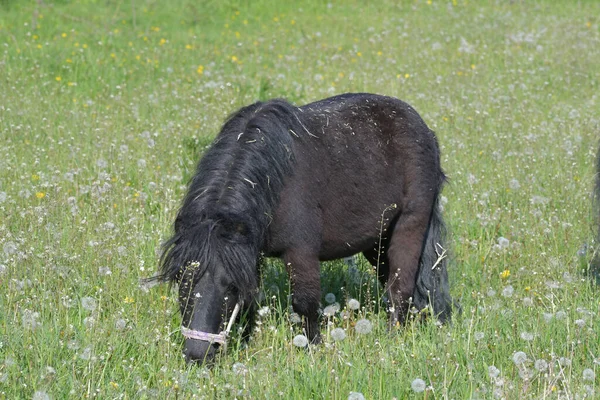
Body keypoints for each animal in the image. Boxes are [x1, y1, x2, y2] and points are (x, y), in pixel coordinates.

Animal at [159, 92, 454, 364]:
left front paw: (314, 350)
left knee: (400, 288)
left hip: (409, 227)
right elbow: (252, 296)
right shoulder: (249, 252)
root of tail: (426, 132)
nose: (197, 355)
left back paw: (393, 339)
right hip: (378, 241)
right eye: (181, 280)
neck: (271, 177)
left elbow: (305, 304)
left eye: (230, 287)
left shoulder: (300, 254)